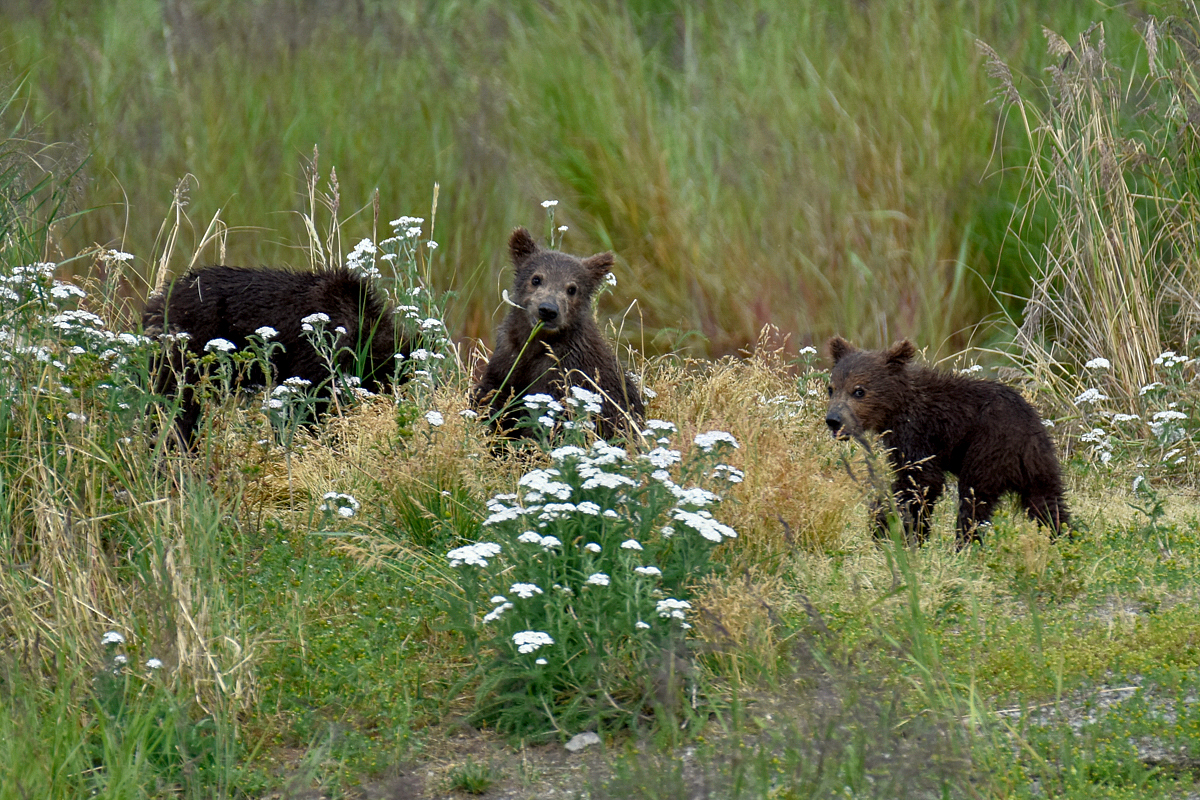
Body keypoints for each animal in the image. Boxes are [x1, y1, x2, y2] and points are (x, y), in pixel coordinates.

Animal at [472, 226, 648, 438]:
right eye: (536, 278)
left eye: (572, 288)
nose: (548, 310)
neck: (536, 345)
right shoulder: (507, 357)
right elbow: (491, 396)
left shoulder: (563, 371)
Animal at [825, 335, 1070, 546]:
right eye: (831, 388)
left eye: (859, 391)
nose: (833, 420)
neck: (895, 408)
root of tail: (1025, 435)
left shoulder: (918, 432)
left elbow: (922, 481)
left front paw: (893, 526)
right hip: (1040, 464)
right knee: (1048, 503)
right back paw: (1063, 536)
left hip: (988, 450)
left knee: (973, 500)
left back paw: (964, 545)